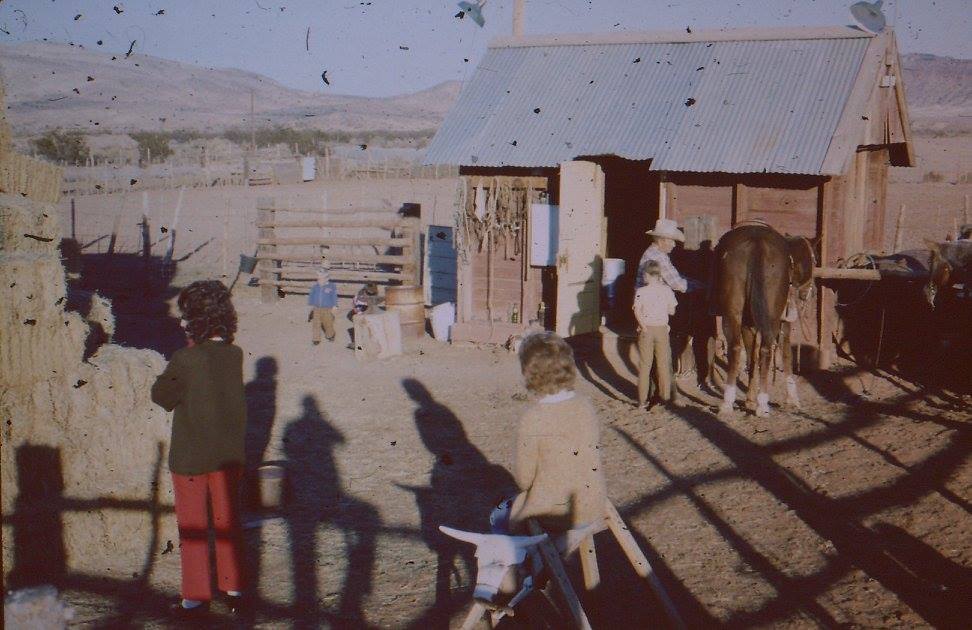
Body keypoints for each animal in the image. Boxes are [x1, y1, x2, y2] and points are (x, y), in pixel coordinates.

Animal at [712, 225, 816, 418]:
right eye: (815, 260)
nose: (809, 294)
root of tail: (757, 242)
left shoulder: (748, 324)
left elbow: (752, 356)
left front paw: (749, 400)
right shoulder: (784, 323)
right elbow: (786, 354)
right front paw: (792, 399)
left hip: (732, 314)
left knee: (735, 348)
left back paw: (728, 402)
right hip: (772, 319)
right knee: (767, 349)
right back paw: (763, 405)